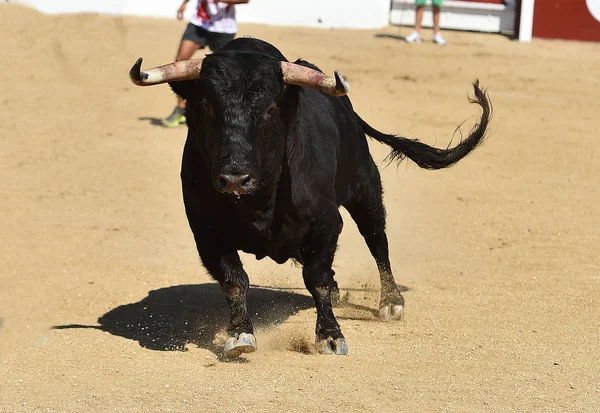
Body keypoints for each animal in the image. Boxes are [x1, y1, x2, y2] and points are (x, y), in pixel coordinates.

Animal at [129, 37, 490, 356]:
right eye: (206, 106)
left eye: (270, 109)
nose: (234, 178)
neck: (258, 202)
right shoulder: (207, 233)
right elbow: (234, 280)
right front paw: (240, 335)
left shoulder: (326, 224)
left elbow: (316, 278)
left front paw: (330, 336)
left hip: (365, 189)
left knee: (377, 241)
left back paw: (391, 301)